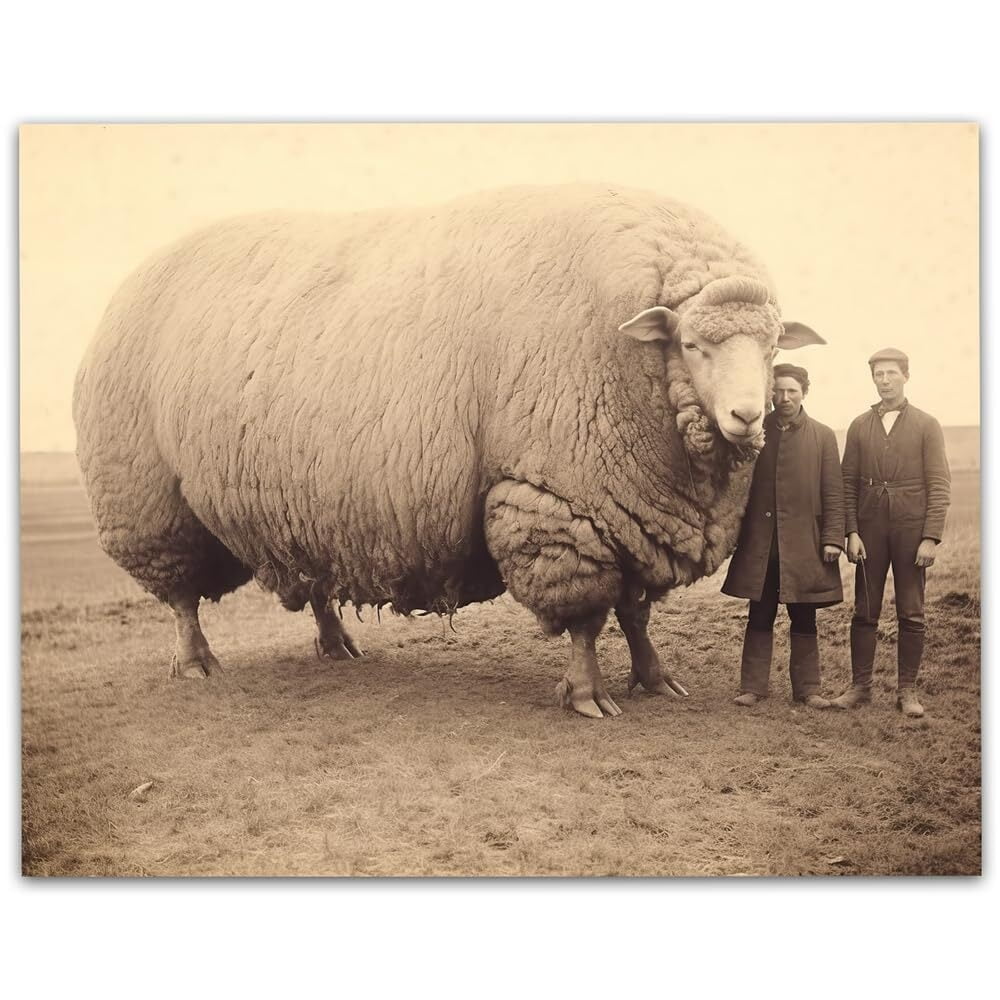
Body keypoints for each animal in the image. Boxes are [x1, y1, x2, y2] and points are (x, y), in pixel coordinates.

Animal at [73, 184, 823, 718]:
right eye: (692, 345)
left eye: (772, 347)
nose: (746, 416)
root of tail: (128, 285)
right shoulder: (558, 507)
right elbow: (587, 620)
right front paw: (587, 696)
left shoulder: (634, 513)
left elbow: (635, 613)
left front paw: (655, 677)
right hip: (149, 501)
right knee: (182, 599)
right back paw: (197, 661)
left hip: (303, 501)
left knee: (314, 578)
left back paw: (338, 645)